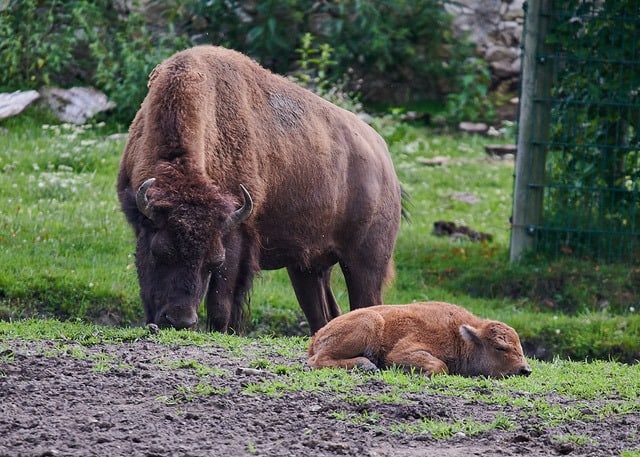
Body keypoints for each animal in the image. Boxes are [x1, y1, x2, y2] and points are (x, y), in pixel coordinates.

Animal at [117, 45, 402, 332]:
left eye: (214, 262)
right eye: (160, 252)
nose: (180, 320)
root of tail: (384, 158)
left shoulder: (235, 235)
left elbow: (221, 306)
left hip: (365, 264)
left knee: (367, 301)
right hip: (308, 268)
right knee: (324, 315)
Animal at [308, 302, 532, 376]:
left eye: (520, 347)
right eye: (500, 347)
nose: (525, 370)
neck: (461, 336)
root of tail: (316, 336)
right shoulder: (403, 351)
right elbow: (441, 366)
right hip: (369, 322)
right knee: (317, 361)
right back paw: (367, 365)